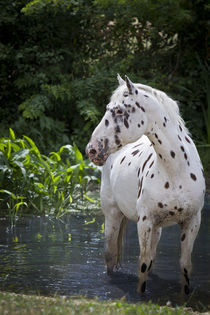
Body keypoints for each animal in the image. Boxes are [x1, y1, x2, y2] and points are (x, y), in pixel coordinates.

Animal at [85, 75, 205, 296]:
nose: (92, 149)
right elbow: (143, 265)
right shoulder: (145, 222)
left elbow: (184, 265)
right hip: (113, 215)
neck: (175, 170)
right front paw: (141, 296)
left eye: (119, 111)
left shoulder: (192, 221)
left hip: (157, 228)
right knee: (110, 256)